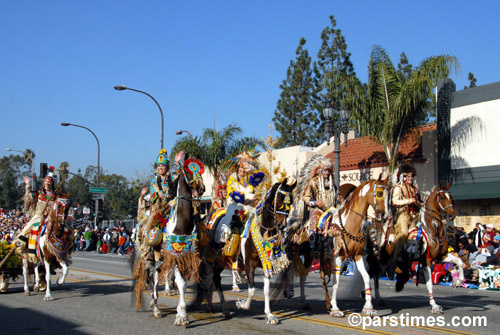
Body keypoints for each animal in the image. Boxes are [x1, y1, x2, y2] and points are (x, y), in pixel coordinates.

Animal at [194, 178, 296, 326]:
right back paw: (223, 309)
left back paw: (215, 307)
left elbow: (266, 290)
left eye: (291, 202)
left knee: (214, 279)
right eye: (280, 201)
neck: (262, 230)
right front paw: (242, 304)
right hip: (211, 259)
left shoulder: (265, 263)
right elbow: (252, 290)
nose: (282, 225)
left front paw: (269, 315)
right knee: (214, 279)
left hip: (220, 262)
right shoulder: (249, 264)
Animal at [392, 182, 458, 314]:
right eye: (442, 197)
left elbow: (459, 261)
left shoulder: (441, 256)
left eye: (451, 198)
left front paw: (458, 280)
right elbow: (429, 283)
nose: (451, 215)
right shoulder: (426, 259)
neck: (431, 229)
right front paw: (434, 306)